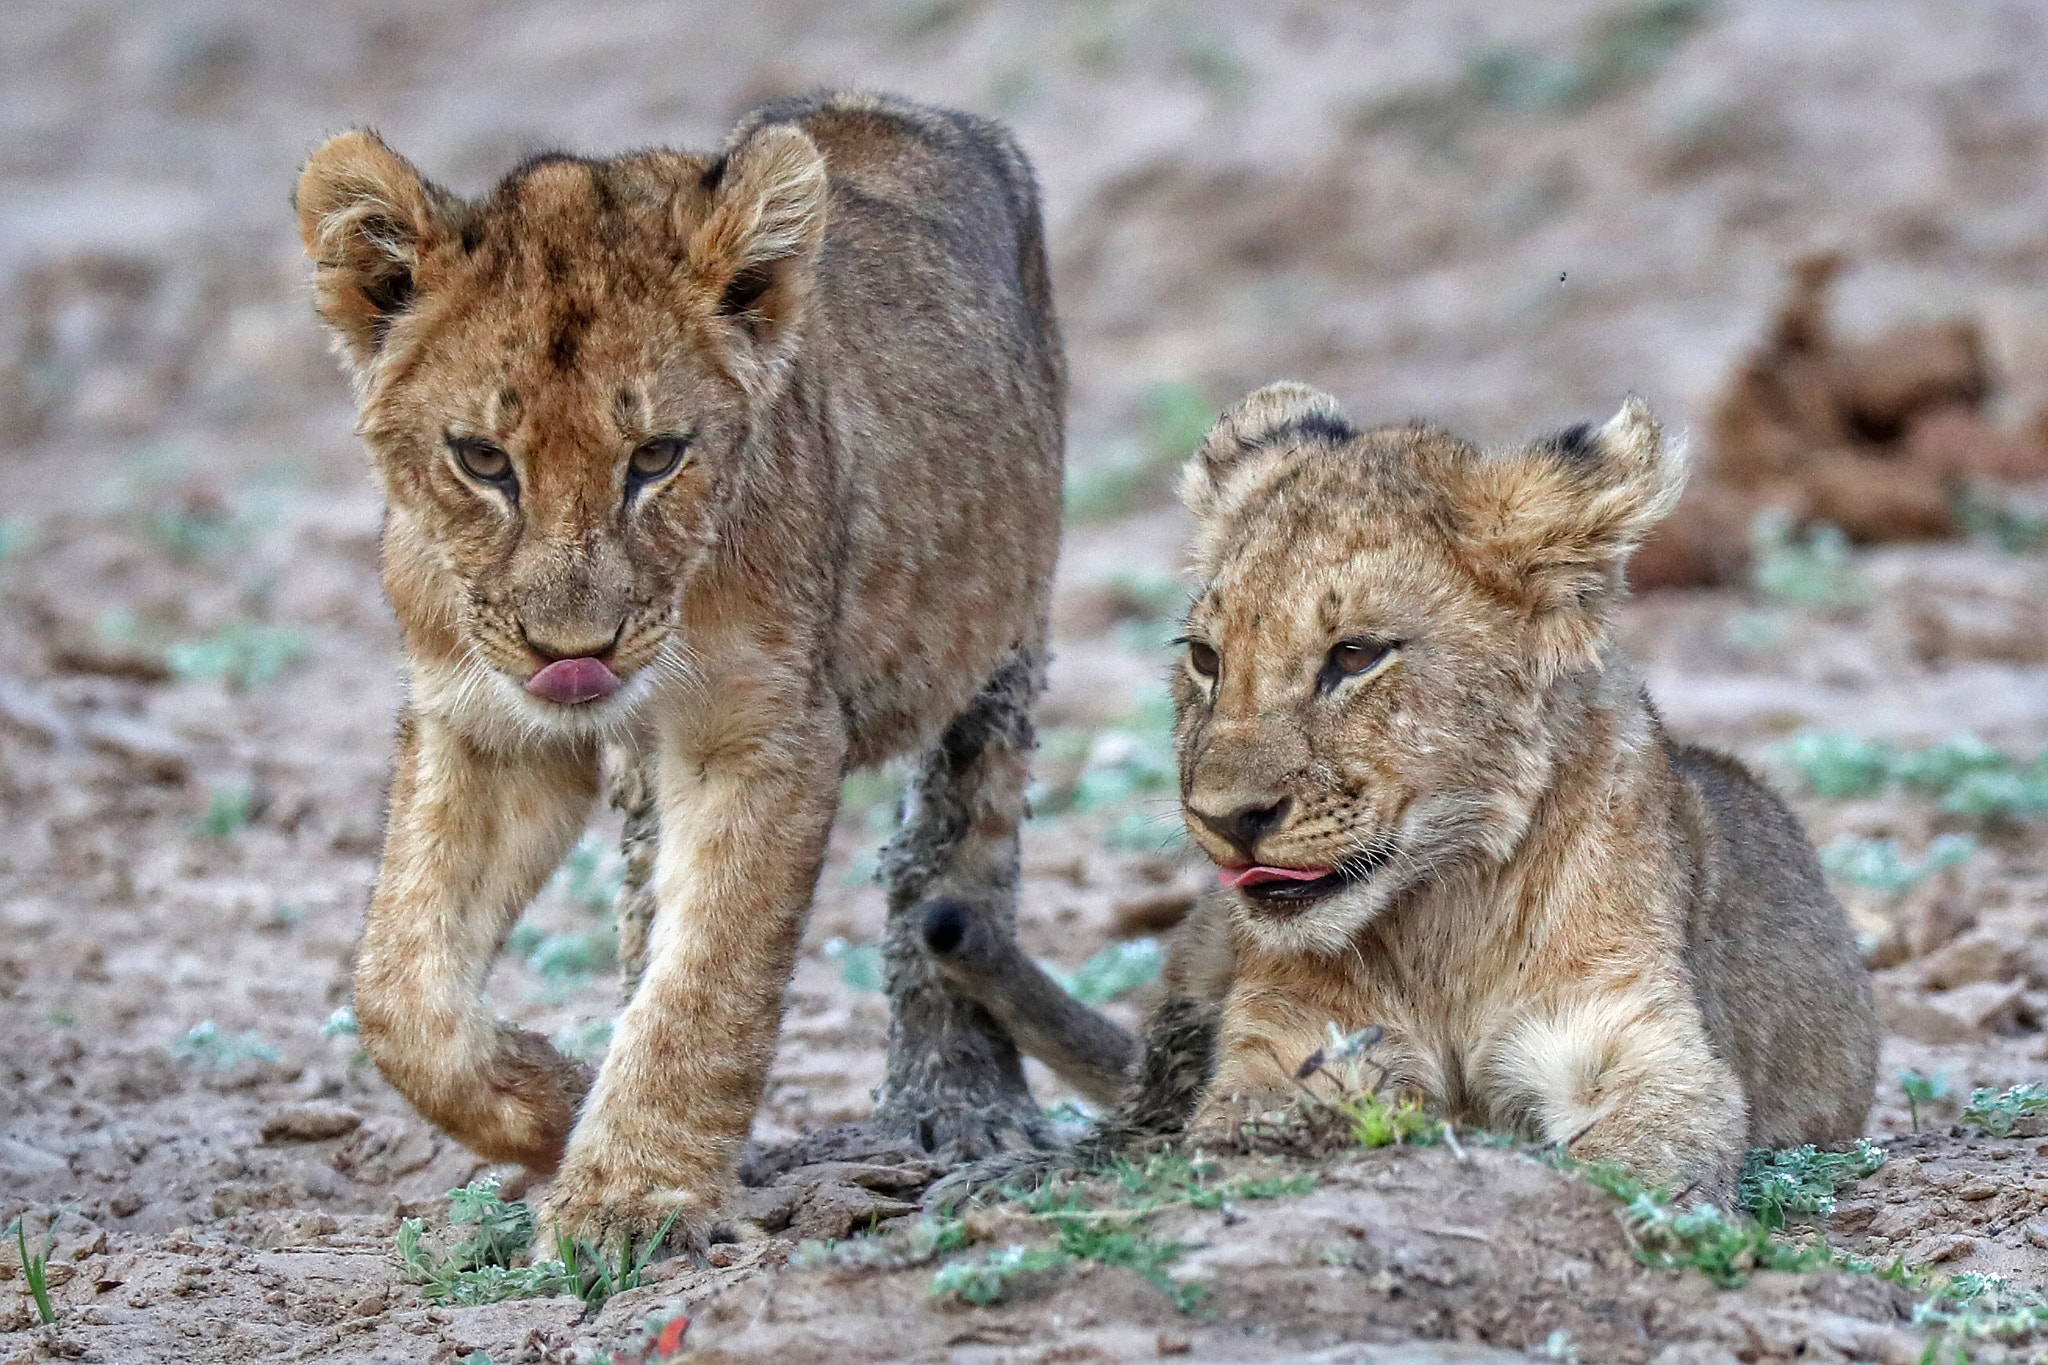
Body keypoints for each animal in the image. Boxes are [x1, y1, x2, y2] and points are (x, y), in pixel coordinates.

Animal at [293, 91, 1133, 1251]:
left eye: (656, 457)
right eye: (482, 460)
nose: (575, 652)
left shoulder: (763, 731)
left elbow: (711, 975)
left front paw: (628, 1203)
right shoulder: (486, 725)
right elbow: (397, 987)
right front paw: (555, 1099)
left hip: (1001, 638)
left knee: (952, 858)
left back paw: (960, 1111)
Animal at [1148, 384, 1878, 1199]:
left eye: (1356, 654)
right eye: (1205, 656)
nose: (1226, 819)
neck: (1443, 921)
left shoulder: (1640, 1039)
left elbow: (1639, 1159)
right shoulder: (1290, 1043)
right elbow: (1239, 1126)